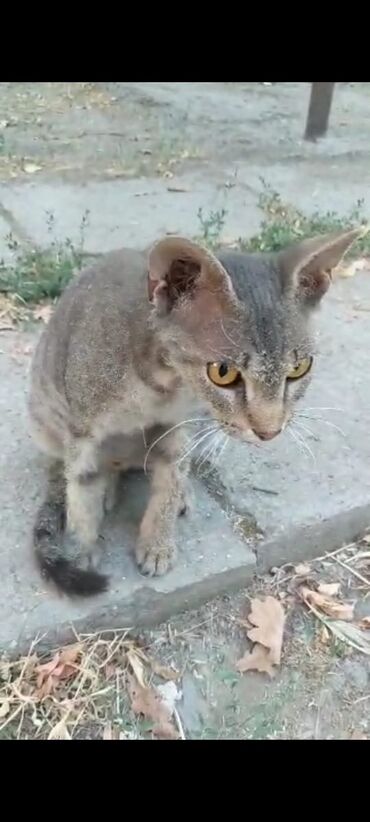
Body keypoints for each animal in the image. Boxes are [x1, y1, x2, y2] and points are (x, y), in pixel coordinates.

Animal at [28, 229, 362, 596]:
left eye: (300, 368)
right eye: (222, 372)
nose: (270, 431)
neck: (161, 387)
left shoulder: (178, 426)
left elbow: (171, 479)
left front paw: (158, 542)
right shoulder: (82, 430)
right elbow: (81, 488)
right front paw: (81, 547)